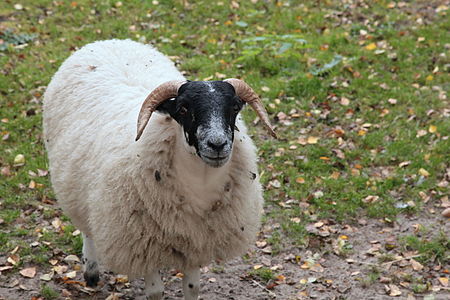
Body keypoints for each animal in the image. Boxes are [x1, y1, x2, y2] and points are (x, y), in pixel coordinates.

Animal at [43, 38, 274, 298]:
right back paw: (91, 272)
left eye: (234, 107)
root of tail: (107, 41)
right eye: (183, 109)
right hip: (79, 190)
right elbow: (155, 291)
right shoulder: (143, 246)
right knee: (87, 229)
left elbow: (192, 288)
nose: (217, 144)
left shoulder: (196, 241)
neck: (200, 184)